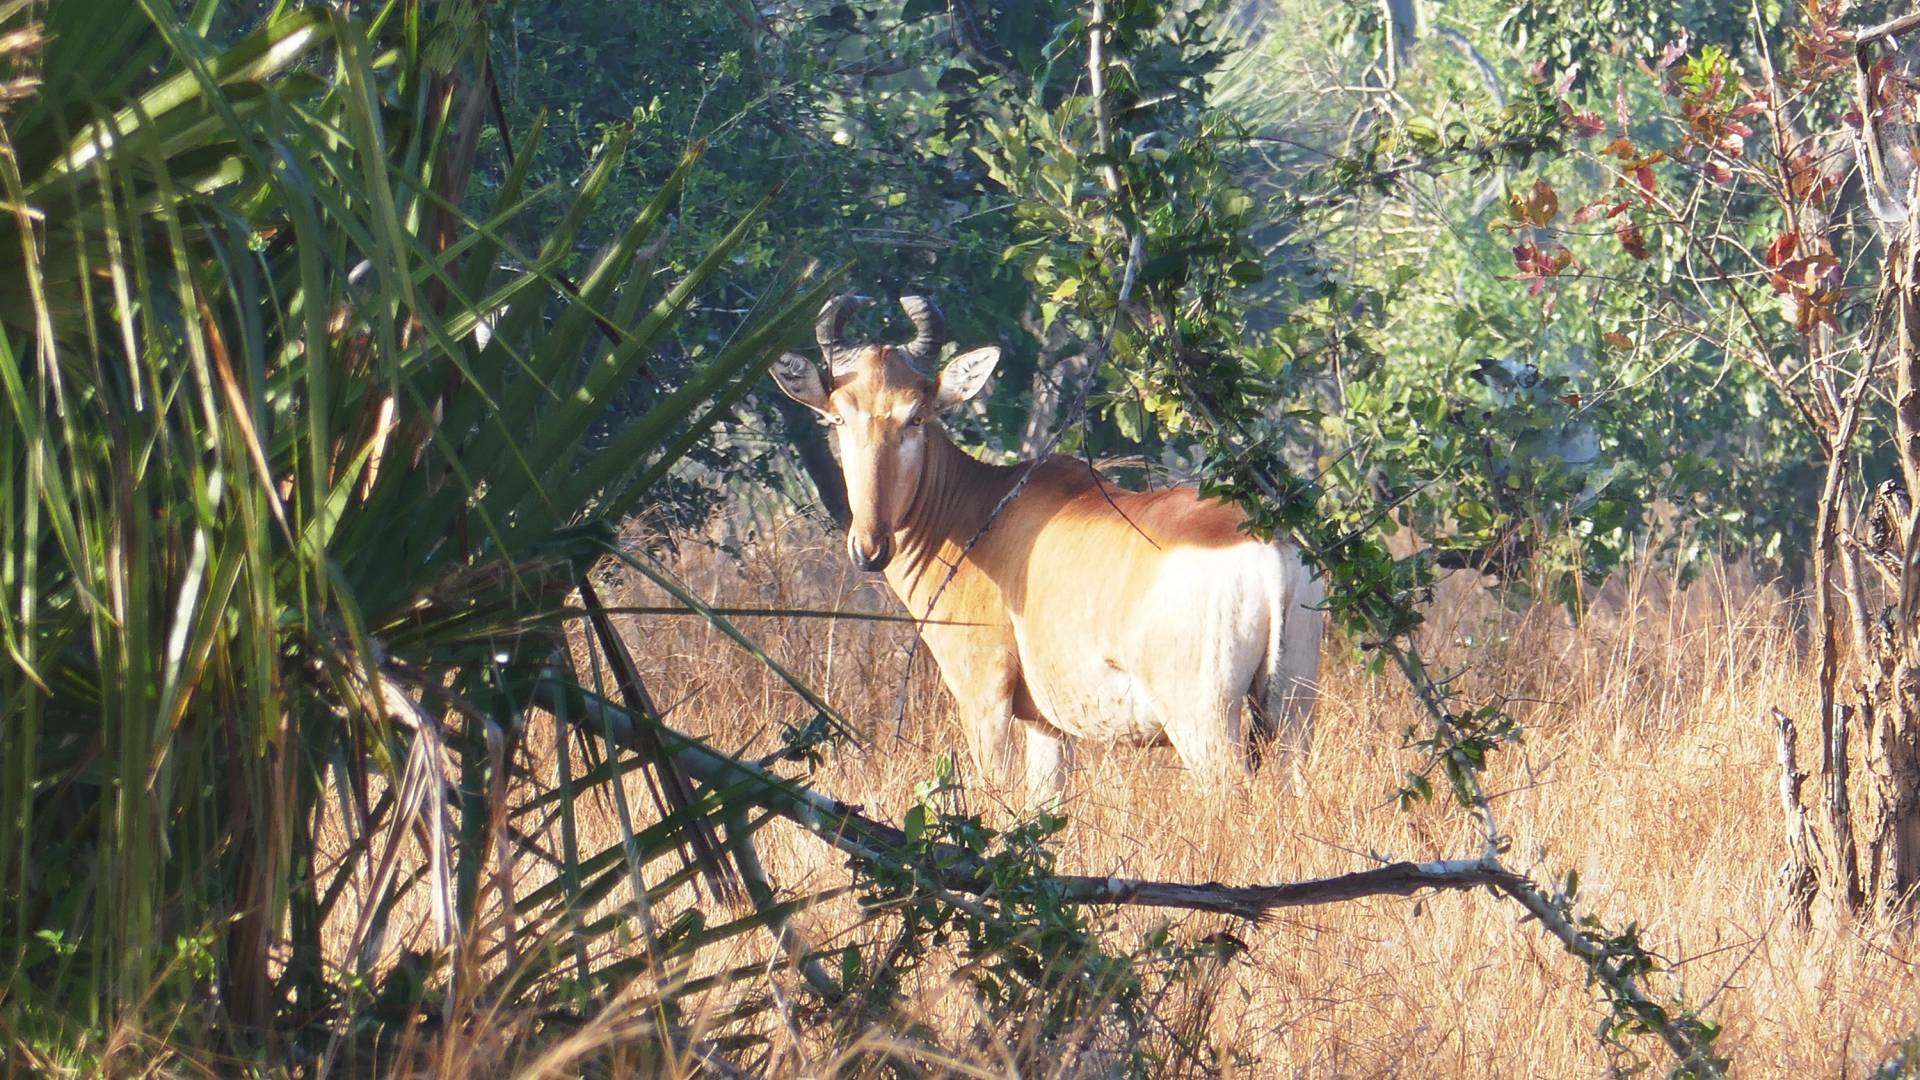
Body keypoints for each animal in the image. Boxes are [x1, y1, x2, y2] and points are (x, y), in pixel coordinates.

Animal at [773, 292, 1324, 802]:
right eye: (838, 417)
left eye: (917, 416)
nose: (870, 549)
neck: (985, 509)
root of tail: (1265, 544)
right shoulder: (1046, 723)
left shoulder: (985, 697)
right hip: (1293, 709)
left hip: (1204, 722)